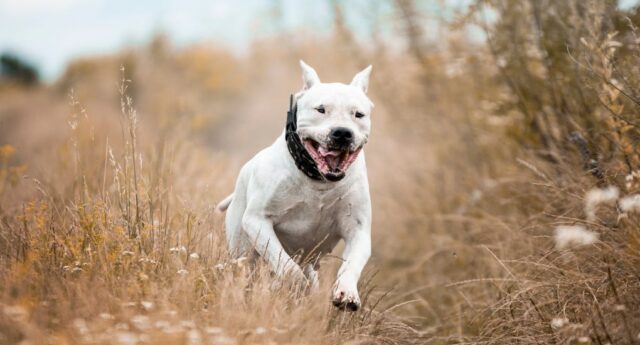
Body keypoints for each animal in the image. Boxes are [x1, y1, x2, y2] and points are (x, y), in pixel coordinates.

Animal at [218, 59, 372, 310]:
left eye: (358, 114)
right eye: (321, 109)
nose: (342, 133)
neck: (318, 180)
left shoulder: (358, 230)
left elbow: (353, 264)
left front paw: (347, 291)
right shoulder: (257, 221)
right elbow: (284, 264)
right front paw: (295, 283)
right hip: (242, 251)